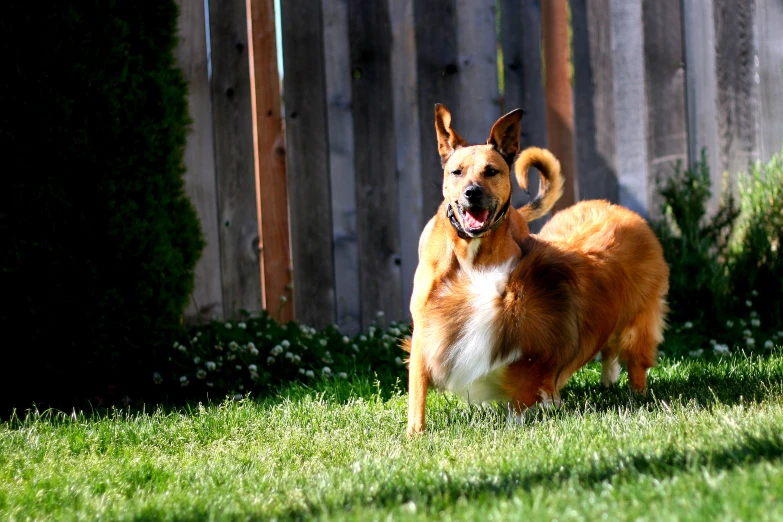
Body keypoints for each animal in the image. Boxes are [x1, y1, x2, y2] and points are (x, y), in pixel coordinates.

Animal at [404, 103, 668, 432]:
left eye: (491, 171)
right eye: (457, 172)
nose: (472, 192)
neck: (471, 253)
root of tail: (621, 210)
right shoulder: (424, 330)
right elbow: (417, 395)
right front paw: (415, 434)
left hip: (638, 317)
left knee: (631, 356)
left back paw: (634, 392)